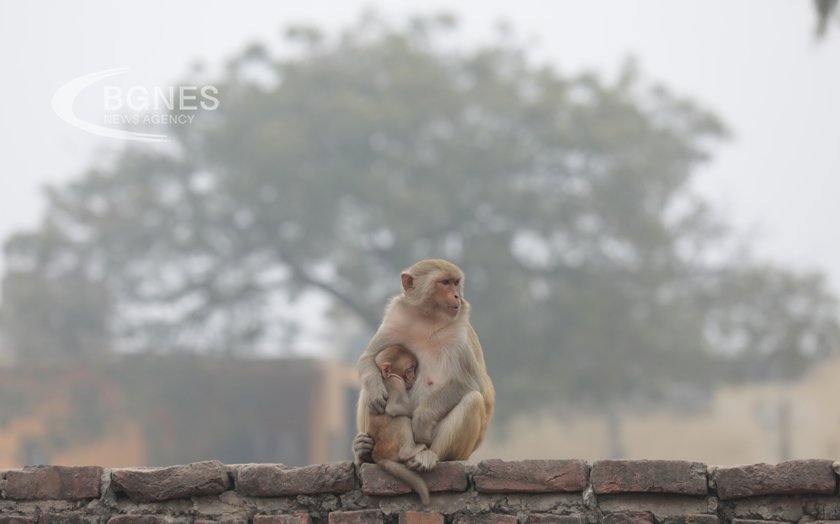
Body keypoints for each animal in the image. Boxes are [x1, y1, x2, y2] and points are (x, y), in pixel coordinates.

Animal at [352, 258, 496, 470]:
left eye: (456, 282)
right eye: (445, 282)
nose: (457, 295)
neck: (427, 319)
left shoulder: (459, 333)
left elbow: (471, 382)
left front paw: (422, 417)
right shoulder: (396, 317)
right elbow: (368, 358)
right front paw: (376, 389)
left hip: (452, 450)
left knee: (473, 400)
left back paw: (429, 455)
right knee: (369, 388)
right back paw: (363, 450)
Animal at [368, 346, 430, 506]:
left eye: (414, 369)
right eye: (409, 370)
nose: (413, 377)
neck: (386, 376)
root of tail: (377, 454)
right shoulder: (396, 382)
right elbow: (393, 408)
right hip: (390, 444)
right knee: (402, 420)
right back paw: (409, 451)